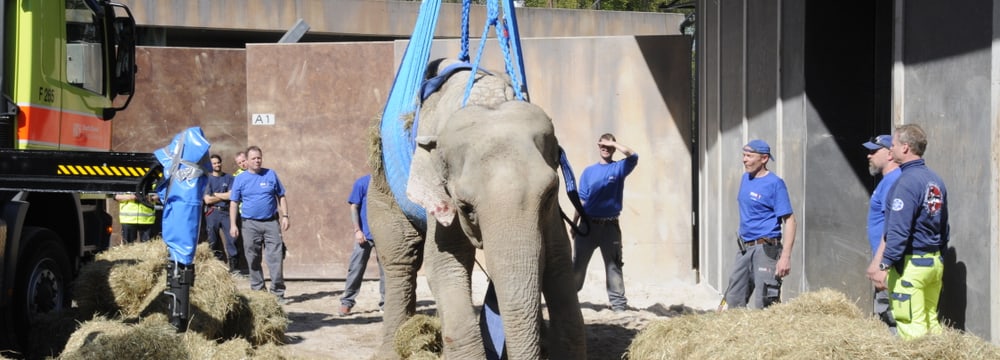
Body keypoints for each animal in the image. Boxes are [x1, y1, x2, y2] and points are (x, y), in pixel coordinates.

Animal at [368, 59, 584, 360]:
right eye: (465, 206)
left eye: (550, 193)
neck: (488, 98)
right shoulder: (442, 193)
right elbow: (444, 263)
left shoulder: (551, 210)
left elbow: (558, 258)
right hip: (381, 188)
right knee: (400, 258)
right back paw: (392, 349)